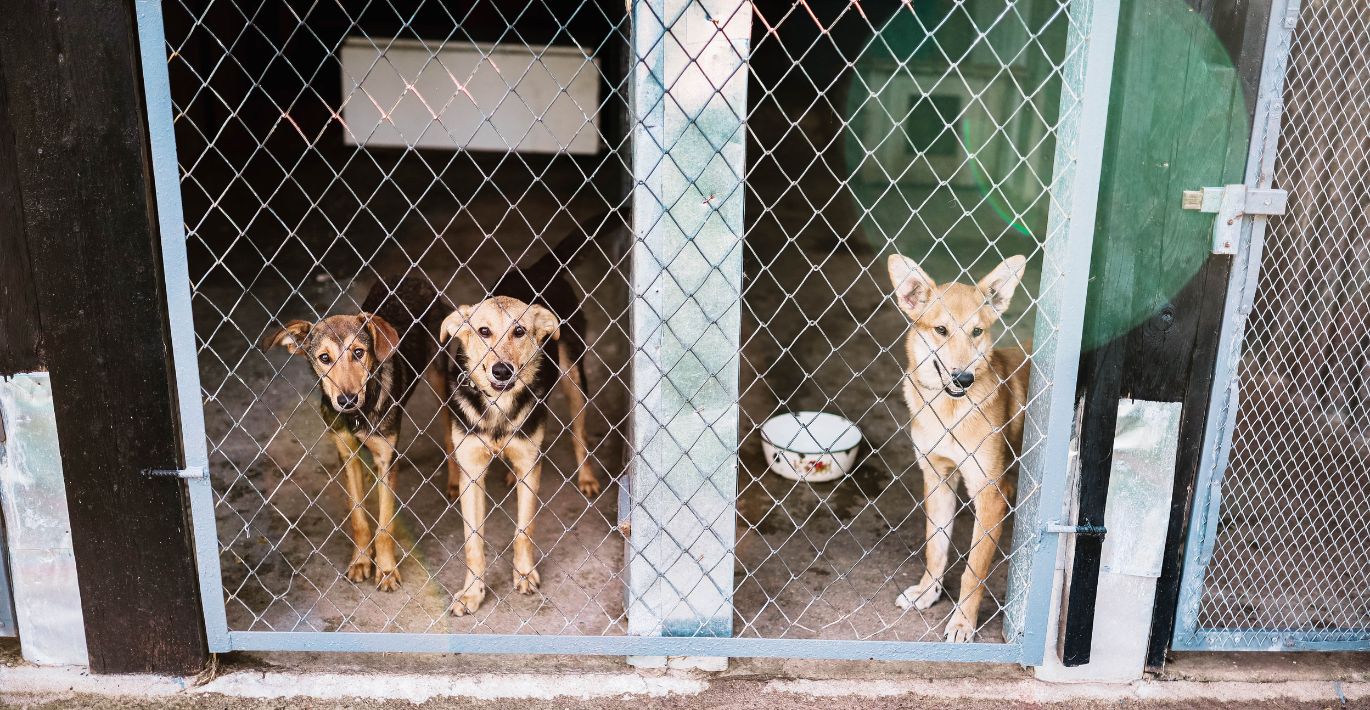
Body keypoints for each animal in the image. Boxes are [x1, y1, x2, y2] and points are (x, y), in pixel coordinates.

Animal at [258, 278, 446, 594]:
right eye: (324, 358)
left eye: (359, 352)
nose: (346, 399)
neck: (359, 414)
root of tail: (414, 278)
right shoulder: (347, 455)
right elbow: (358, 518)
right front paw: (360, 562)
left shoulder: (386, 458)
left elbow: (385, 524)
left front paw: (386, 570)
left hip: (440, 377)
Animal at [887, 254, 1030, 646]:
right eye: (941, 330)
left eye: (977, 332)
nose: (963, 378)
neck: (949, 411)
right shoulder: (938, 477)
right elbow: (935, 546)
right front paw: (927, 592)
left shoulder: (991, 493)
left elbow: (973, 570)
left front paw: (963, 622)